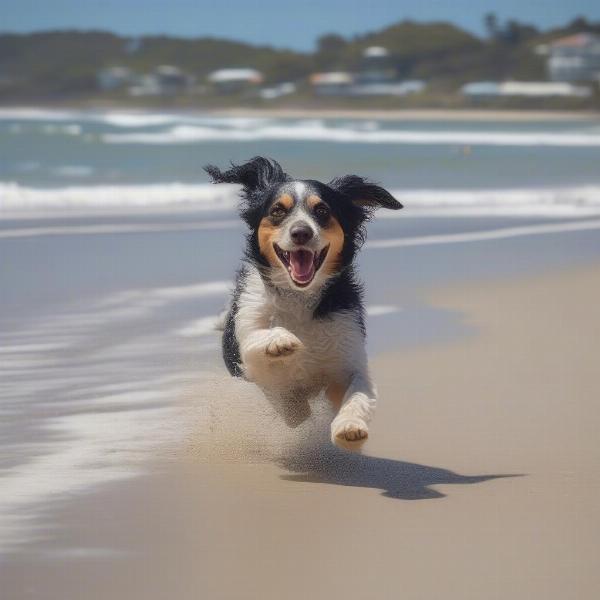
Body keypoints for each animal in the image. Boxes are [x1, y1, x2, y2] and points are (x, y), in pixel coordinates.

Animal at [206, 157, 404, 448]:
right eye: (278, 210)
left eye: (322, 210)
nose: (301, 232)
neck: (299, 295)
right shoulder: (247, 348)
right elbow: (261, 349)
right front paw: (280, 341)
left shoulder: (347, 354)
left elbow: (359, 391)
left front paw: (350, 426)